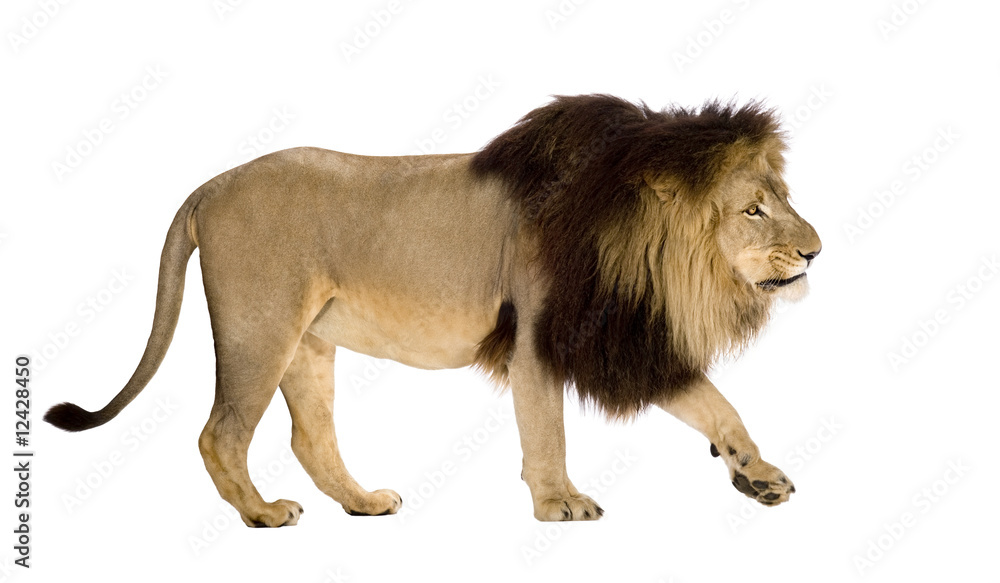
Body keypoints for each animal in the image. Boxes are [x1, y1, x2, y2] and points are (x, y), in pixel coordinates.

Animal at [45, 94, 821, 526]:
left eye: (781, 198)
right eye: (753, 209)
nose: (815, 253)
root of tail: (208, 184)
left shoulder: (623, 341)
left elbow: (718, 406)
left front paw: (758, 475)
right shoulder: (540, 338)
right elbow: (547, 432)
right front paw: (560, 502)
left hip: (307, 342)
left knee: (310, 437)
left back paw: (361, 502)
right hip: (257, 330)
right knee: (220, 434)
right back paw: (262, 515)